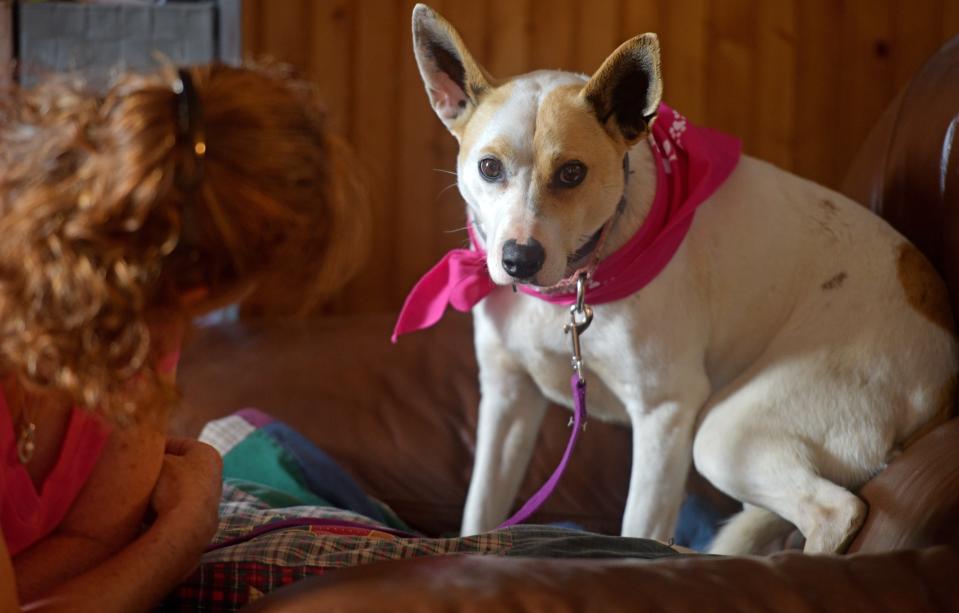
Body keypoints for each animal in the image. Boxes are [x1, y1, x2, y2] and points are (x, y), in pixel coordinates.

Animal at [408, 2, 956, 552]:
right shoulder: (507, 399)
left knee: (836, 511)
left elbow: (639, 531)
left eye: (571, 173)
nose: (519, 259)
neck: (571, 284)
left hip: (725, 436)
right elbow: (479, 513)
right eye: (489, 167)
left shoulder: (665, 414)